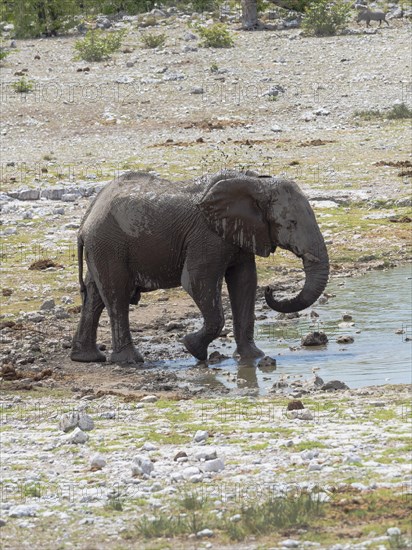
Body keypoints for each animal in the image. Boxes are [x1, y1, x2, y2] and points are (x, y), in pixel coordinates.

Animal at [70, 170, 328, 364]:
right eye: (291, 223)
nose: (270, 290)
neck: (257, 183)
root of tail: (86, 219)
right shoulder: (207, 236)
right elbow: (196, 281)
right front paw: (192, 347)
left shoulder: (238, 233)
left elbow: (245, 282)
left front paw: (252, 358)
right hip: (109, 246)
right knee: (117, 296)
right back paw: (130, 361)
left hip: (101, 248)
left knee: (95, 296)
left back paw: (87, 358)